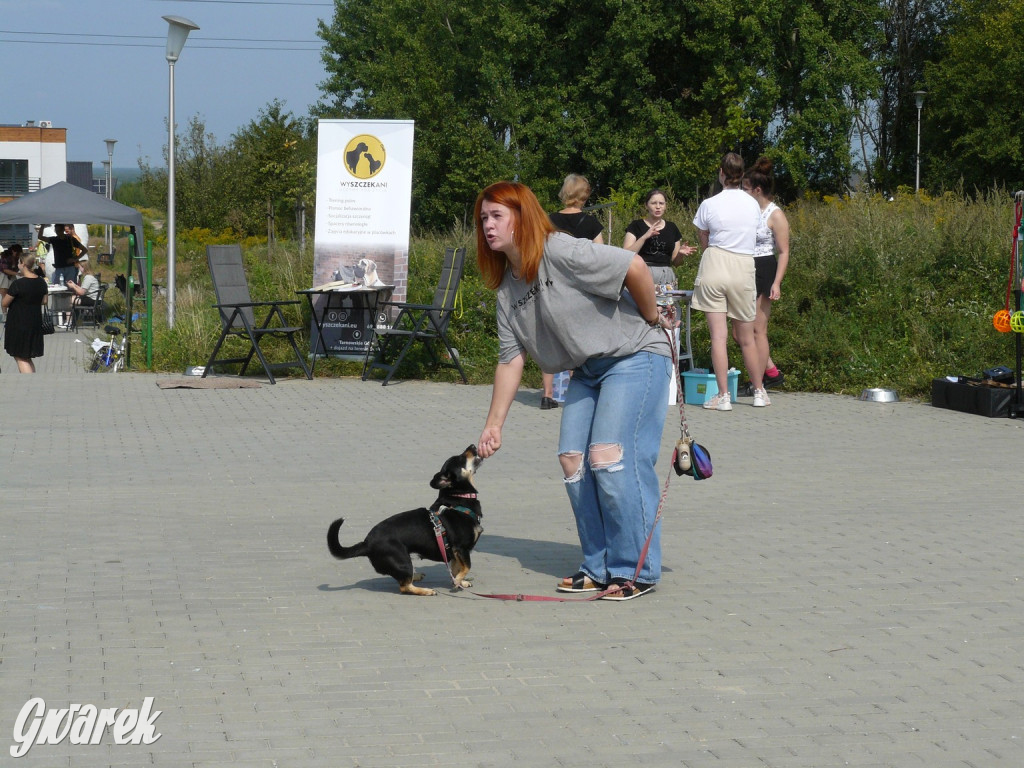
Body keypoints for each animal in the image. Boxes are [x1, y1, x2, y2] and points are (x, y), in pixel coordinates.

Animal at [329, 448, 485, 598]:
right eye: (461, 458)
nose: (473, 446)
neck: (458, 499)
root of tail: (366, 543)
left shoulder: (454, 553)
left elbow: (455, 568)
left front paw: (460, 582)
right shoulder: (461, 549)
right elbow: (466, 567)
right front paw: (457, 581)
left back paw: (416, 576)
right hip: (403, 560)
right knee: (404, 587)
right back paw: (426, 591)